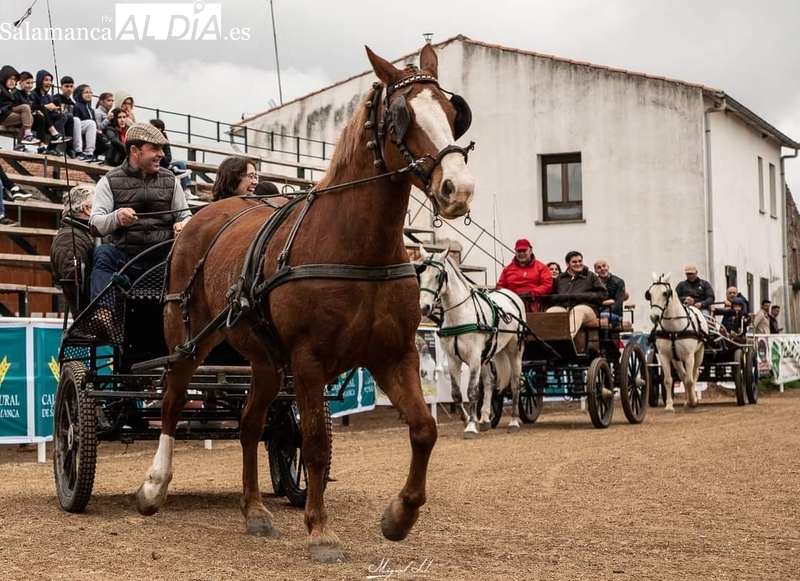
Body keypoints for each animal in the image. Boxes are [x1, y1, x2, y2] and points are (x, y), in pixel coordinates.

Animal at [133, 43, 476, 563]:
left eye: (455, 114)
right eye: (401, 115)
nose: (458, 188)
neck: (356, 246)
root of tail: (204, 214)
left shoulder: (394, 355)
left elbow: (423, 430)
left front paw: (399, 516)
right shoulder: (309, 360)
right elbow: (314, 442)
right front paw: (321, 531)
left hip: (265, 362)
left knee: (250, 423)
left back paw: (254, 510)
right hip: (187, 341)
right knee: (172, 403)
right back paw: (155, 486)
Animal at [417, 247, 526, 437]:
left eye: (438, 276)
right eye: (421, 275)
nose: (424, 307)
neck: (460, 316)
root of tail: (510, 294)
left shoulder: (474, 357)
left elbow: (472, 391)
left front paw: (470, 426)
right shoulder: (453, 359)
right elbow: (456, 393)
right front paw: (468, 419)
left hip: (514, 351)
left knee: (515, 384)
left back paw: (513, 422)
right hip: (487, 355)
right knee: (490, 382)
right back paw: (485, 419)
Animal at [646, 272, 708, 412]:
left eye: (665, 293)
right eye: (649, 294)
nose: (654, 317)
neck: (673, 330)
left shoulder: (689, 356)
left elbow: (690, 380)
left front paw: (693, 401)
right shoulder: (664, 356)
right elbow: (668, 380)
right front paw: (669, 406)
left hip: (699, 354)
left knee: (693, 375)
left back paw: (692, 399)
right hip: (676, 359)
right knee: (683, 375)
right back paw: (686, 401)